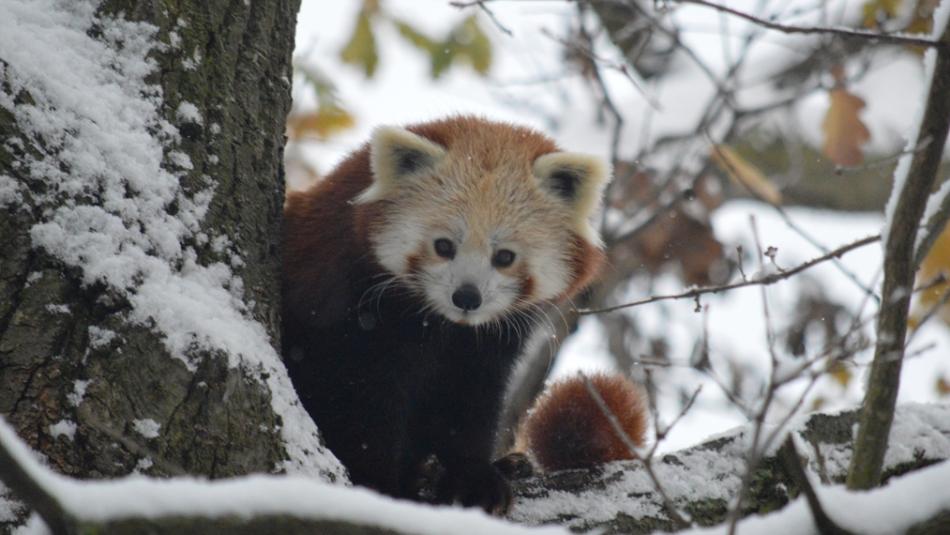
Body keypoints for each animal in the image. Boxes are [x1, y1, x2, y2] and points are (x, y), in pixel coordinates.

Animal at [282, 117, 608, 516]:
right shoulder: (344, 309)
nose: (466, 297)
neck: (442, 326)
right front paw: (378, 483)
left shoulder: (487, 343)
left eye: (504, 257)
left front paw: (474, 476)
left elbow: (469, 400)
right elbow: (354, 400)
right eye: (443, 246)